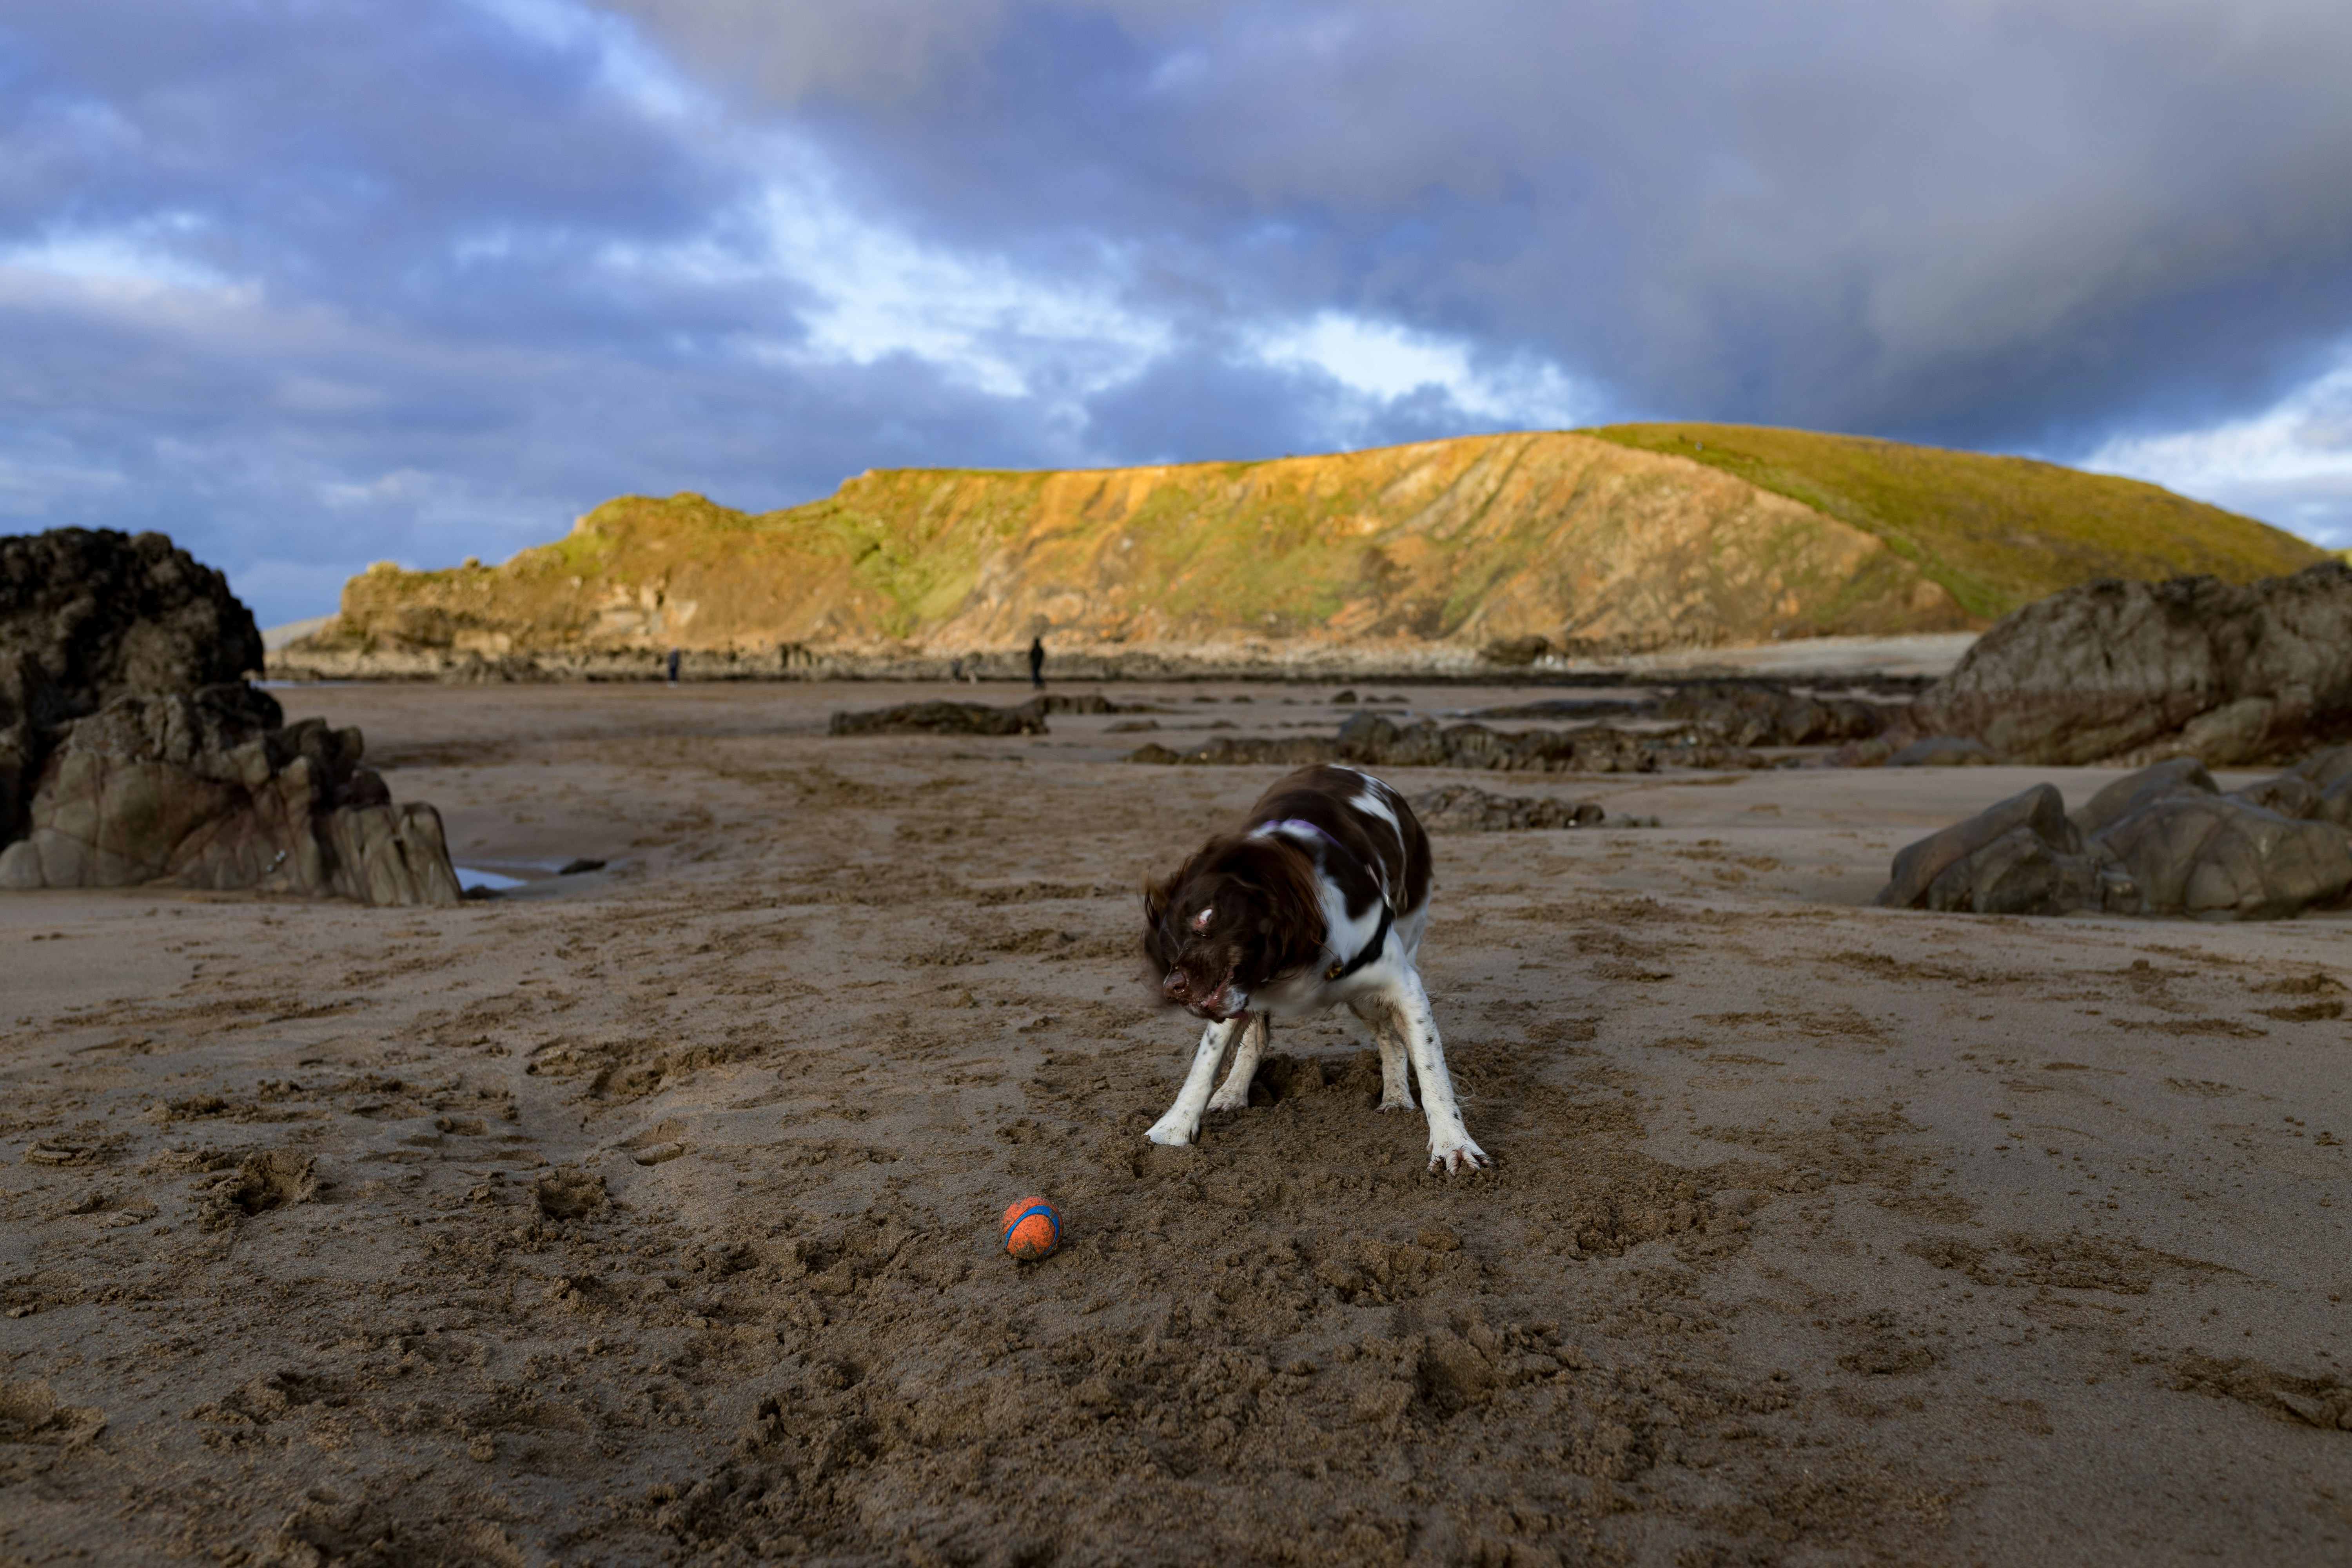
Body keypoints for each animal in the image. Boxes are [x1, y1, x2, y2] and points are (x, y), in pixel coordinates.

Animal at [1138, 766, 1486, 1171]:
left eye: (1206, 917)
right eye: (1168, 944)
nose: (1172, 987)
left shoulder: (1402, 985)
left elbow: (1432, 1070)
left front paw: (1453, 1143)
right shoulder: (1235, 992)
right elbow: (1205, 1063)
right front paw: (1174, 1128)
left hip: (1376, 981)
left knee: (1391, 1039)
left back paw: (1397, 1097)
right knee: (1256, 1038)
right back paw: (1234, 1092)